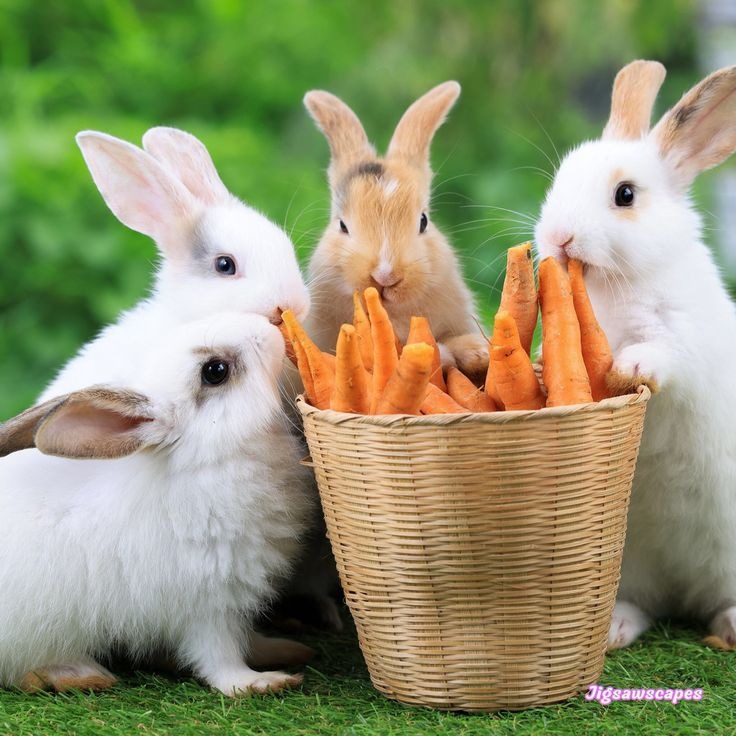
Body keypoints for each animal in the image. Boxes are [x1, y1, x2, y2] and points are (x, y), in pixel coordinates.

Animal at [0, 311, 316, 695]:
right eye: (215, 371)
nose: (267, 326)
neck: (208, 459)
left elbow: (249, 638)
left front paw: (286, 649)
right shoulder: (207, 604)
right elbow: (220, 657)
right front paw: (260, 682)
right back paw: (83, 674)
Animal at [534, 59, 736, 650]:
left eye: (625, 195)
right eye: (558, 181)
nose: (558, 238)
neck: (616, 286)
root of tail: (685, 592)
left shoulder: (684, 338)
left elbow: (662, 354)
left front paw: (628, 367)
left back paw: (731, 625)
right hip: (630, 566)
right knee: (644, 605)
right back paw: (615, 630)